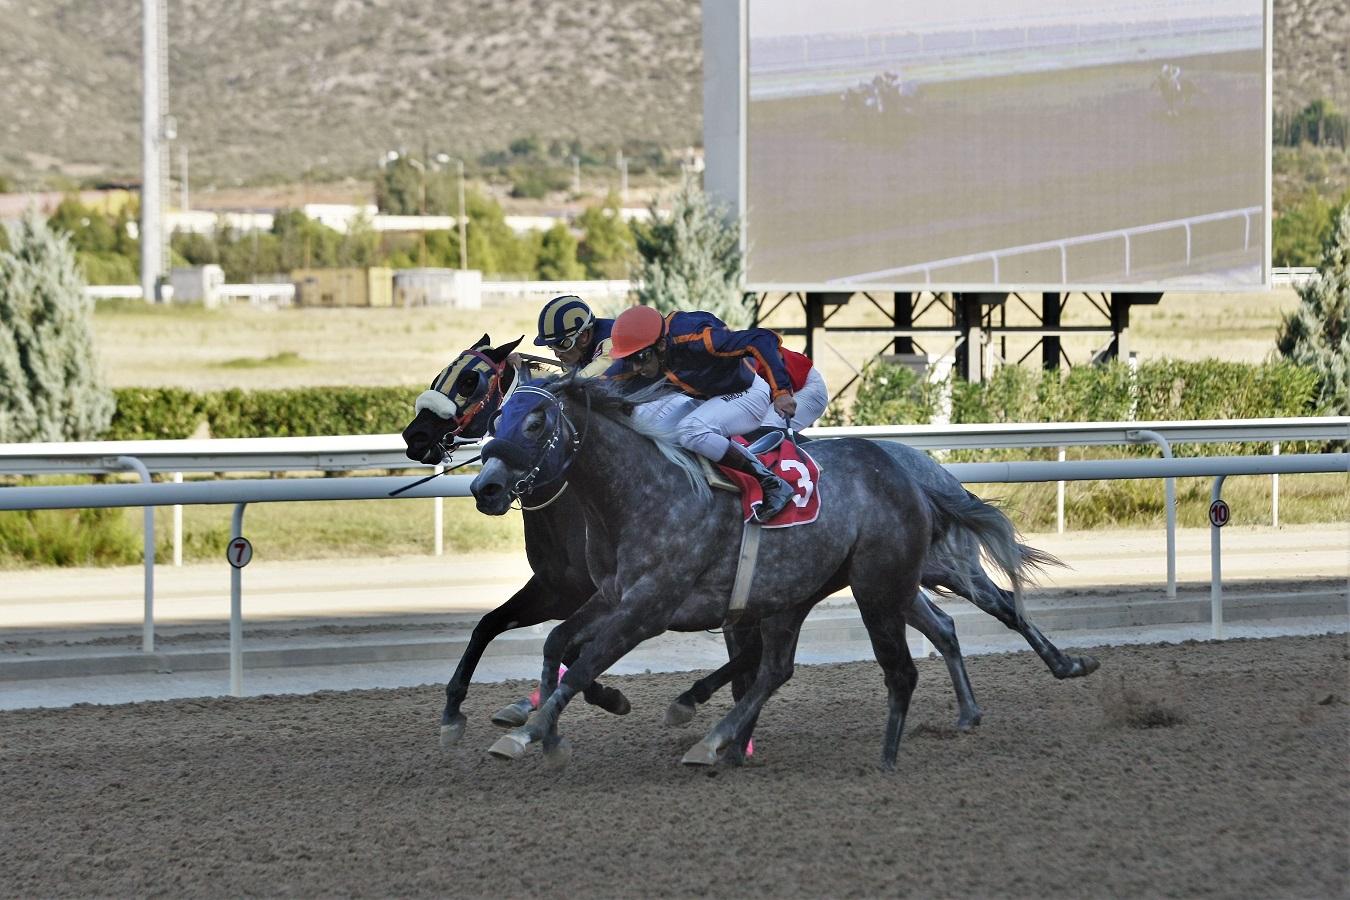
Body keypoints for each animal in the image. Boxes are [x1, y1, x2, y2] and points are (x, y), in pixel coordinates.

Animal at [402, 337, 1096, 744]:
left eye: (471, 381)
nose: (415, 438)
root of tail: (911, 461)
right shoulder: (587, 591)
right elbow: (514, 632)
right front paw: (496, 712)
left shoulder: (615, 597)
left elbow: (577, 652)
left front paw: (555, 711)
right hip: (888, 578)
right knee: (944, 627)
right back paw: (970, 709)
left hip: (927, 566)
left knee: (998, 603)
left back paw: (1065, 664)